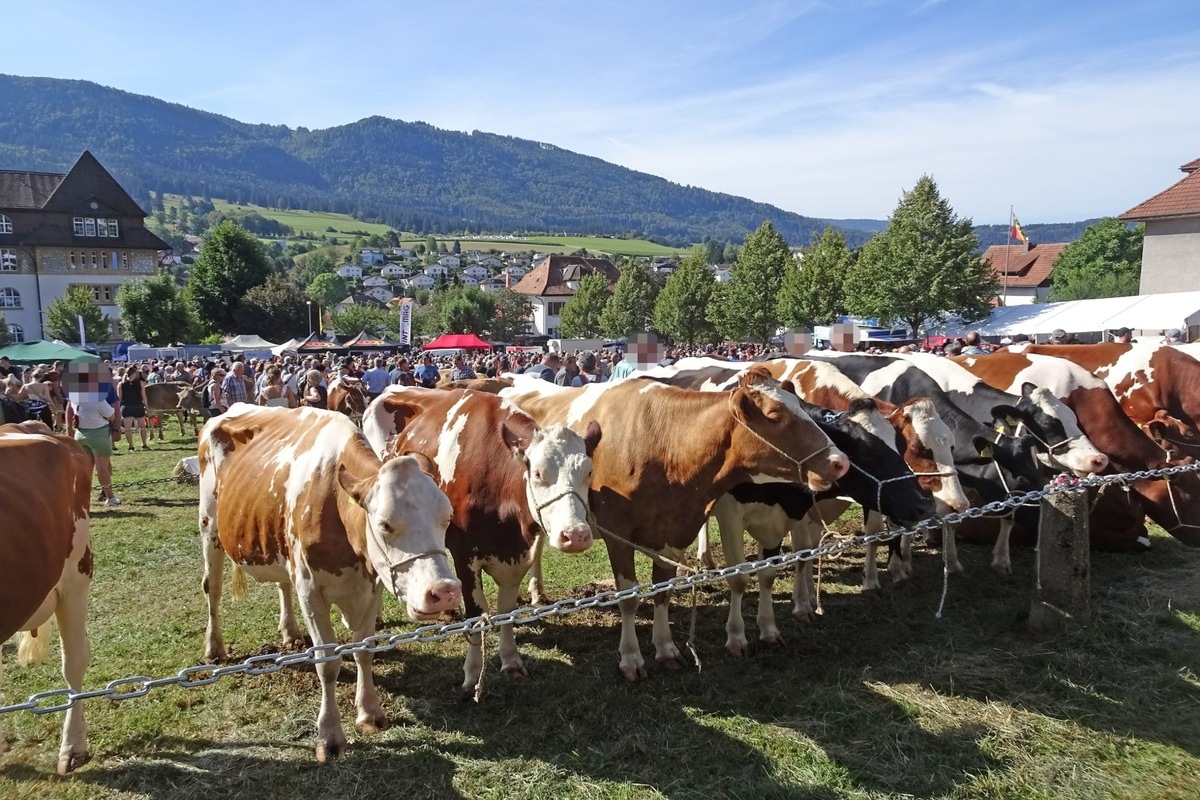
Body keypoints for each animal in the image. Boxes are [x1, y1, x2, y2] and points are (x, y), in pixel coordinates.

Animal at [199, 402, 460, 762]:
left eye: (446, 517)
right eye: (385, 524)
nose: (445, 592)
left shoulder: (370, 586)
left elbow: (364, 651)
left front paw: (369, 713)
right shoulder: (311, 591)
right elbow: (328, 662)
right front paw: (330, 736)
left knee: (282, 585)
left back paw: (290, 633)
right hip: (209, 527)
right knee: (212, 589)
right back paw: (214, 647)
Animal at [357, 388, 597, 695]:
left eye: (588, 472)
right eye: (538, 473)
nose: (576, 535)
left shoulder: (517, 552)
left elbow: (506, 609)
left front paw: (511, 661)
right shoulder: (464, 554)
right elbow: (476, 613)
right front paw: (472, 673)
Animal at [501, 369, 849, 681]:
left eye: (802, 407)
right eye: (776, 415)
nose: (840, 461)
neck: (665, 446)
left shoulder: (672, 531)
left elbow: (662, 592)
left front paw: (666, 649)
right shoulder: (619, 535)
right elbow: (629, 598)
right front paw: (631, 659)